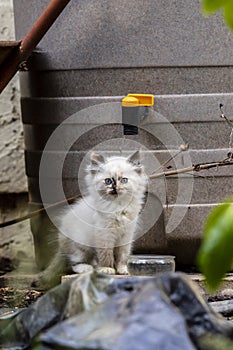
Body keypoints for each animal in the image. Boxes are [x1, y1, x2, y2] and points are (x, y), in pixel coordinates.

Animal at [33, 149, 147, 288]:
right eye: (108, 181)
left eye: (124, 180)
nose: (115, 188)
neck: (118, 207)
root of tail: (61, 244)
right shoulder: (104, 235)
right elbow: (106, 255)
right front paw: (107, 269)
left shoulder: (126, 235)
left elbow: (122, 255)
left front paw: (122, 271)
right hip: (81, 247)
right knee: (74, 263)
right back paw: (88, 268)